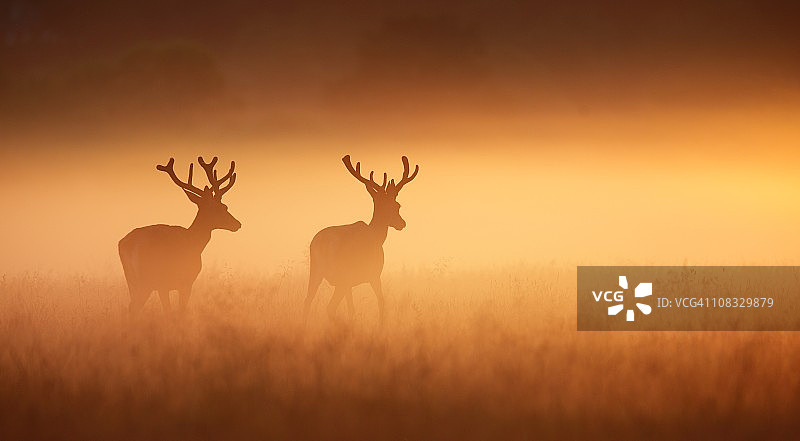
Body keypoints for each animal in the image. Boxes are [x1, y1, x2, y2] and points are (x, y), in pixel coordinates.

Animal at [118, 156, 240, 315]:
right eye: (221, 207)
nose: (237, 224)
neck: (194, 242)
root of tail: (128, 244)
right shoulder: (186, 282)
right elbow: (178, 312)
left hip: (132, 280)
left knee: (132, 307)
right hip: (152, 278)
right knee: (139, 307)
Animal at [304, 155, 419, 324]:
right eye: (397, 205)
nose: (402, 223)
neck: (377, 236)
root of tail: (324, 244)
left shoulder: (350, 284)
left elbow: (351, 309)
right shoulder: (374, 274)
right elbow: (381, 302)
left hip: (316, 271)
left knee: (308, 301)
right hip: (343, 274)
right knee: (330, 307)